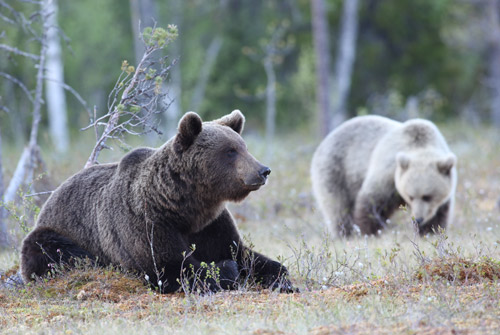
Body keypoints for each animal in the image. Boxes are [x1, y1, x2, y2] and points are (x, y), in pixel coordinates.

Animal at [20, 111, 292, 294]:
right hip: (54, 234)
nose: (263, 170)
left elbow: (242, 253)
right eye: (230, 151)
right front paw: (226, 270)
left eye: (243, 146)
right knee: (58, 252)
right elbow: (172, 267)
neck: (186, 207)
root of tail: (50, 199)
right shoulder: (147, 222)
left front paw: (283, 280)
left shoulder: (211, 225)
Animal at [310, 115, 458, 236]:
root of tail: (324, 141)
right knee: (337, 206)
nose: (419, 218)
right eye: (411, 196)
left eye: (427, 196)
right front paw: (367, 231)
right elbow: (372, 201)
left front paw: (430, 230)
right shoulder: (388, 174)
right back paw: (344, 233)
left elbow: (440, 213)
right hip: (335, 169)